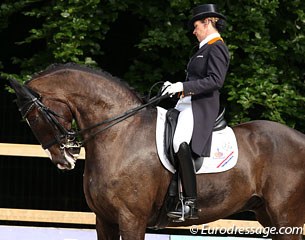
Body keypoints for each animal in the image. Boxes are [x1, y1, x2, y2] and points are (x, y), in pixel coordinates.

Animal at [9, 63, 304, 240]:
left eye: (34, 117)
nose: (64, 159)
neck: (120, 133)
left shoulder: (131, 218)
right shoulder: (104, 220)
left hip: (285, 217)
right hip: (268, 216)